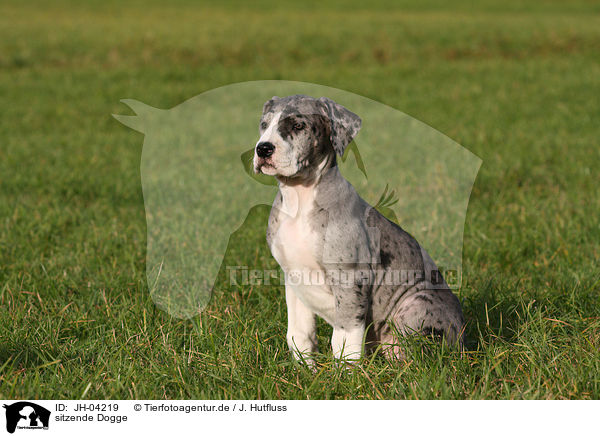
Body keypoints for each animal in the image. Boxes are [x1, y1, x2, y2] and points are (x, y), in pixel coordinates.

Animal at [253, 95, 464, 364]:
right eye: (264, 124)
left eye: (298, 126)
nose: (263, 149)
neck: (299, 198)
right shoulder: (294, 278)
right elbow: (299, 335)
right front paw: (304, 370)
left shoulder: (350, 279)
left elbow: (344, 342)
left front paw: (344, 373)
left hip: (416, 302)